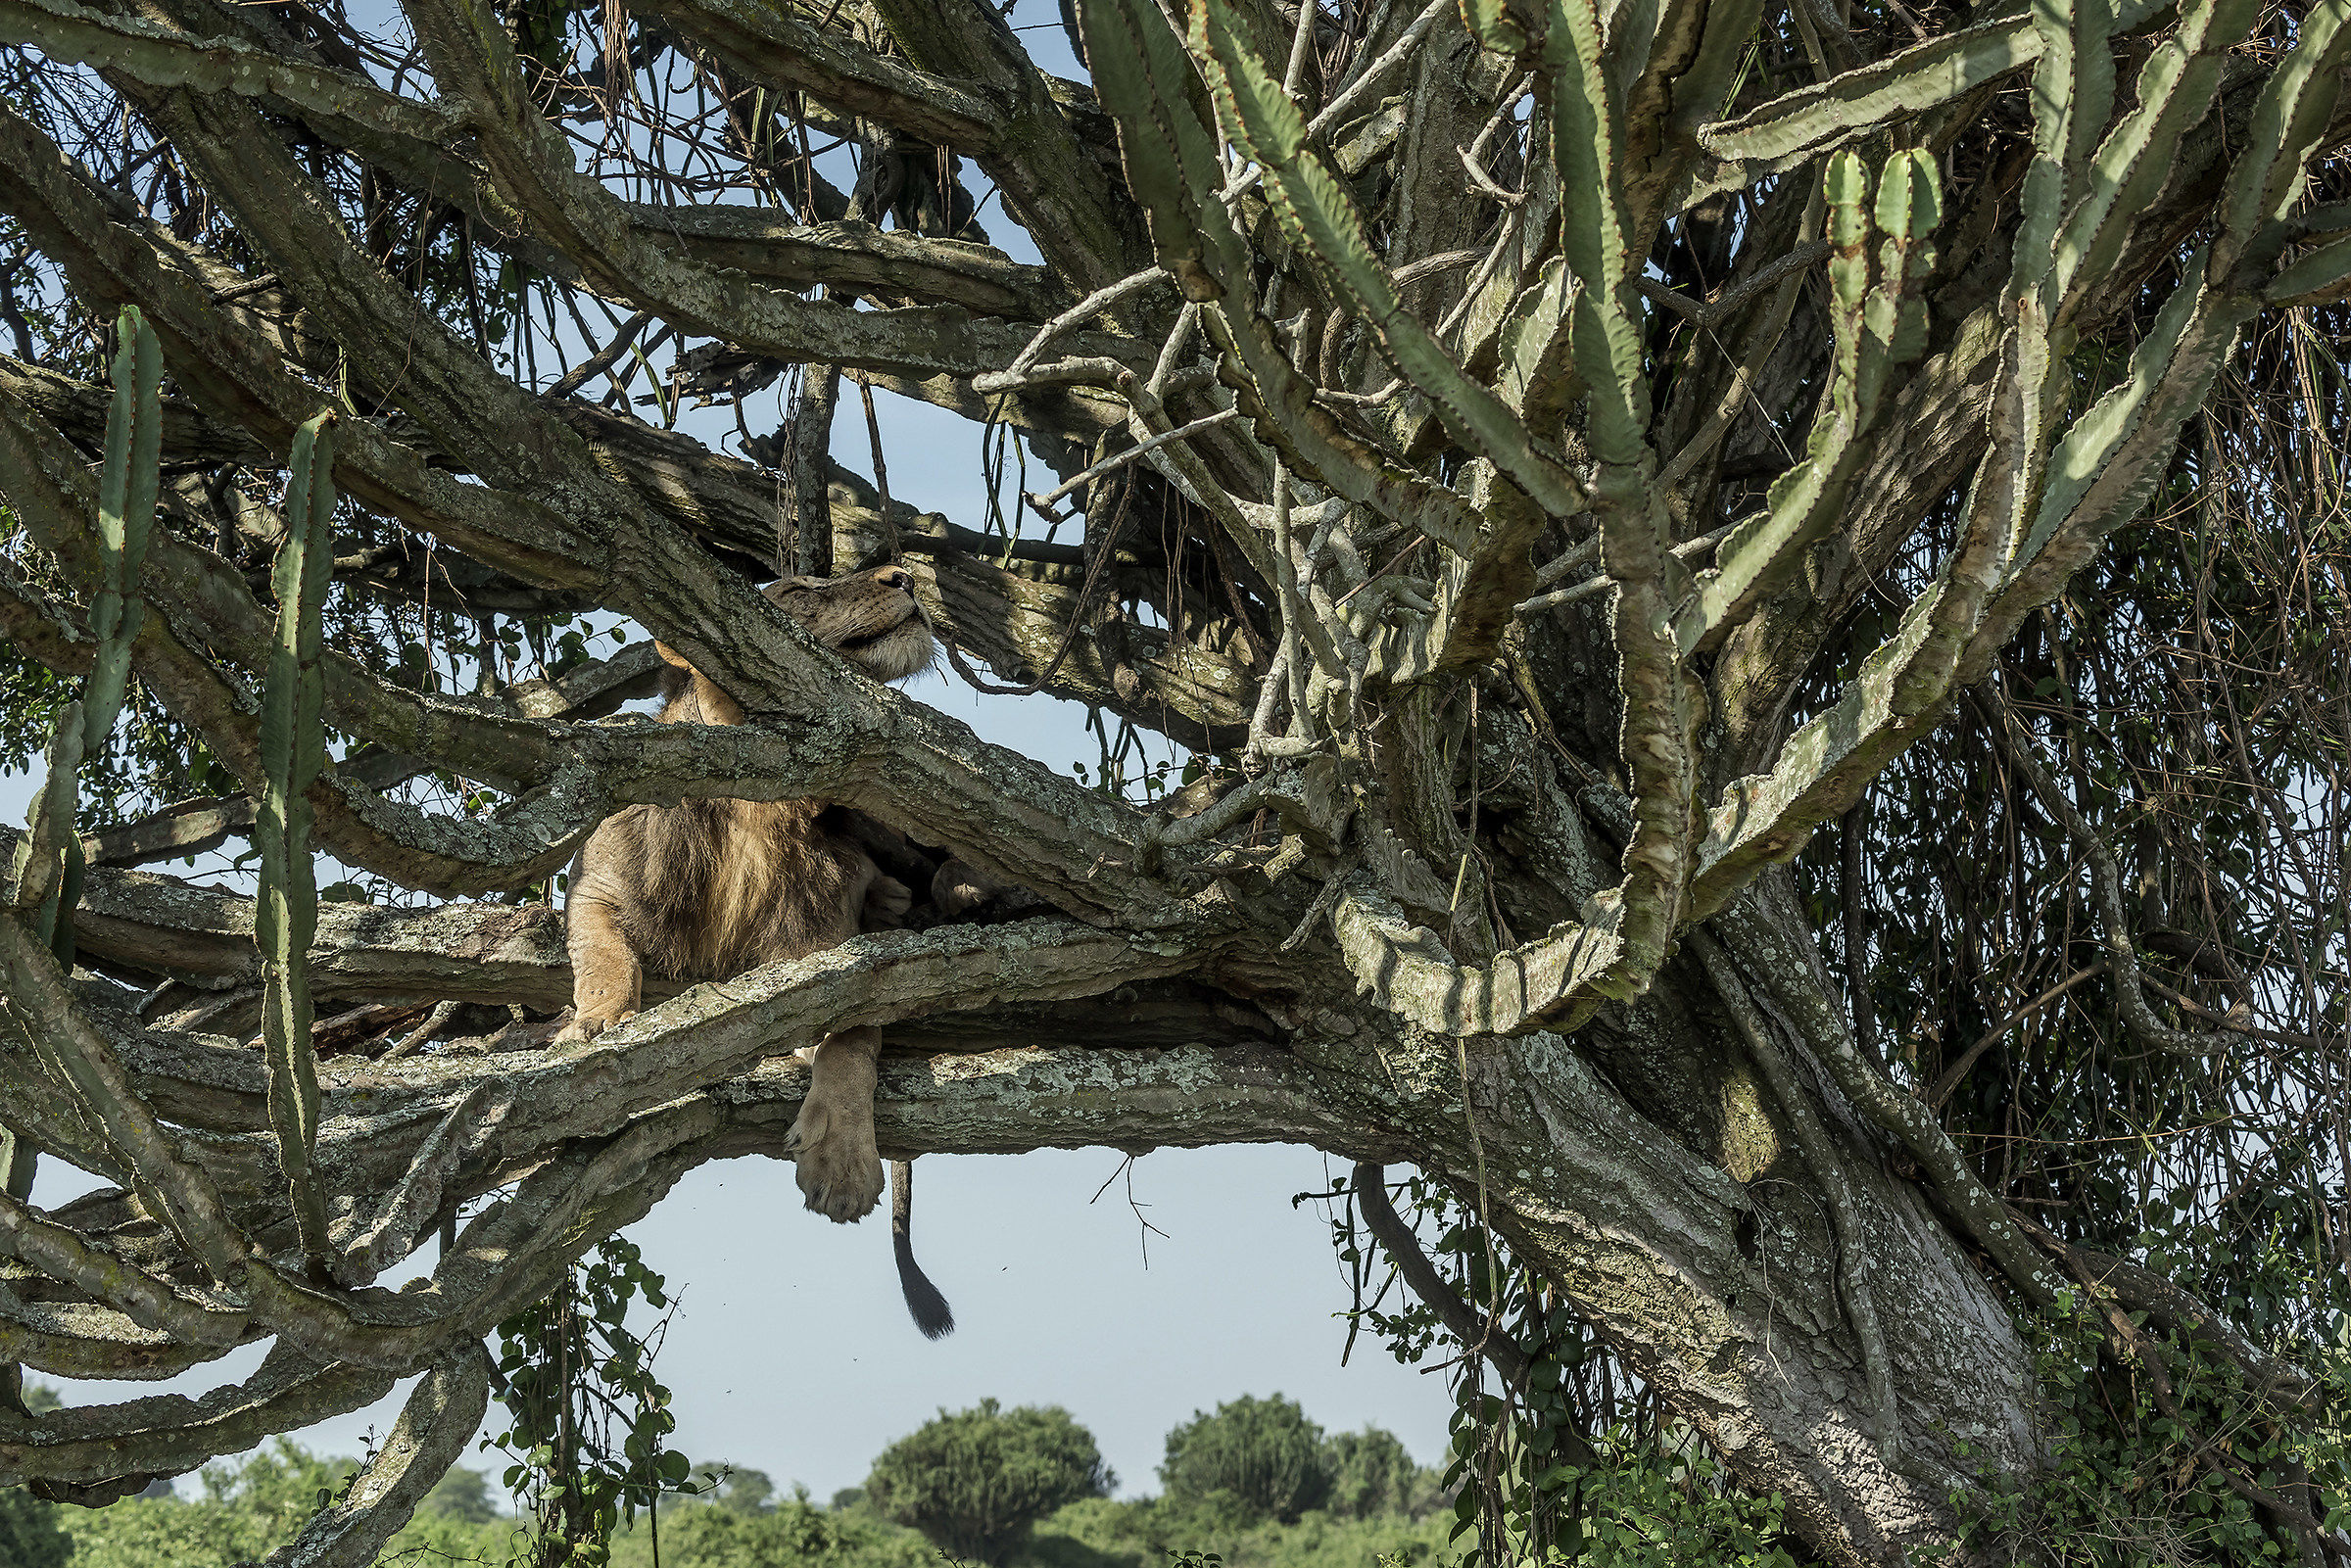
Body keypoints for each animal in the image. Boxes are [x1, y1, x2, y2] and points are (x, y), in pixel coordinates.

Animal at [556, 565, 954, 1337]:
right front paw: (597, 1023)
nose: (904, 574)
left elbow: (852, 1038)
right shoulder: (599, 881)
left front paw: (841, 1161)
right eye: (798, 591)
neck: (760, 805)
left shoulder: (834, 950)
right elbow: (606, 956)